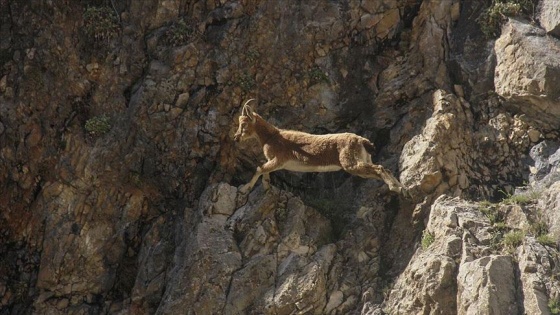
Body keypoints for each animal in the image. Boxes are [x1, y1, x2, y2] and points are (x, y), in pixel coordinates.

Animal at [232, 100, 406, 196]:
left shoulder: (280, 159)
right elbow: (265, 171)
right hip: (363, 160)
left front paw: (245, 189)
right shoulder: (276, 162)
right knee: (384, 168)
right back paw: (401, 187)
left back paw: (394, 187)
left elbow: (259, 168)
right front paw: (267, 187)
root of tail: (362, 141)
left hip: (351, 163)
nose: (236, 138)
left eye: (243, 124)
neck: (271, 137)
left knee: (379, 168)